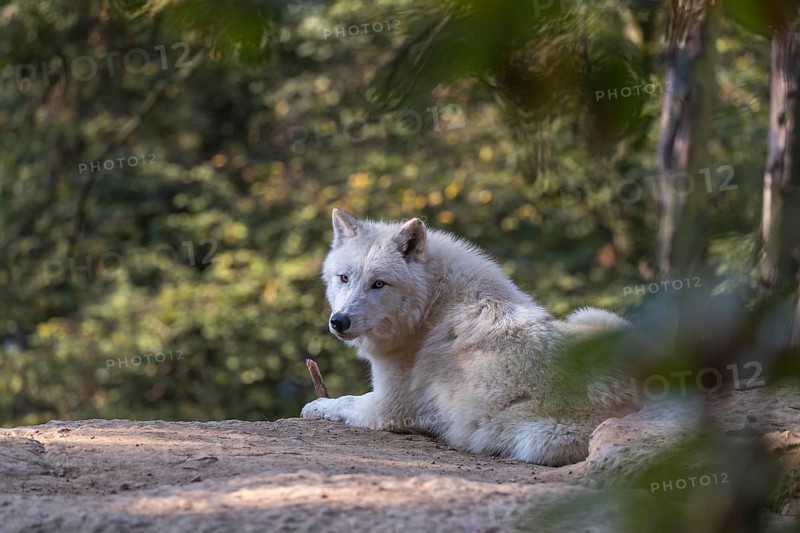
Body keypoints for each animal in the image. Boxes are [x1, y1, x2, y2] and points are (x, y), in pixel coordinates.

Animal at [301, 209, 632, 466]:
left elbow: (342, 401)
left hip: (535, 439)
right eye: (344, 278)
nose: (339, 321)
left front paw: (316, 406)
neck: (432, 306)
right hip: (596, 316)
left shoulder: (387, 407)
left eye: (378, 284)